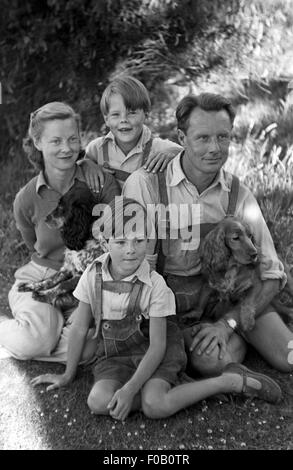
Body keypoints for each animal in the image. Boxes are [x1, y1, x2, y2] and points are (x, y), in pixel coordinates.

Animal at [18, 185, 105, 316]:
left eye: (61, 207)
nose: (45, 218)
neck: (84, 239)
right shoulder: (68, 267)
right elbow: (50, 280)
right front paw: (31, 285)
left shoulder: (82, 276)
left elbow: (61, 285)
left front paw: (44, 295)